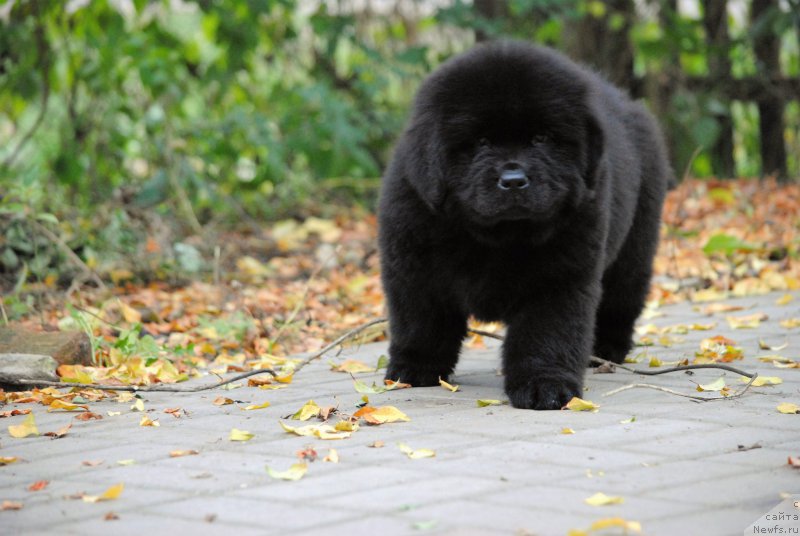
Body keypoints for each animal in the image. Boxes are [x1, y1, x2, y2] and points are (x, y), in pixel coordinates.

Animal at [378, 42, 672, 410]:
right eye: (481, 142)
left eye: (541, 138)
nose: (514, 180)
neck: (497, 236)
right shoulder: (415, 267)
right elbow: (420, 322)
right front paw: (414, 370)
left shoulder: (559, 277)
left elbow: (547, 333)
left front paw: (544, 387)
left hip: (633, 250)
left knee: (622, 300)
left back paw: (606, 351)